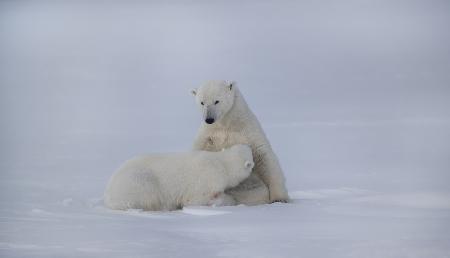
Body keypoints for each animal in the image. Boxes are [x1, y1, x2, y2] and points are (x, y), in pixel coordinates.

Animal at [103, 144, 255, 211]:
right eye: (252, 157)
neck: (222, 164)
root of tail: (109, 193)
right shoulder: (207, 179)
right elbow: (194, 200)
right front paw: (228, 200)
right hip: (137, 182)